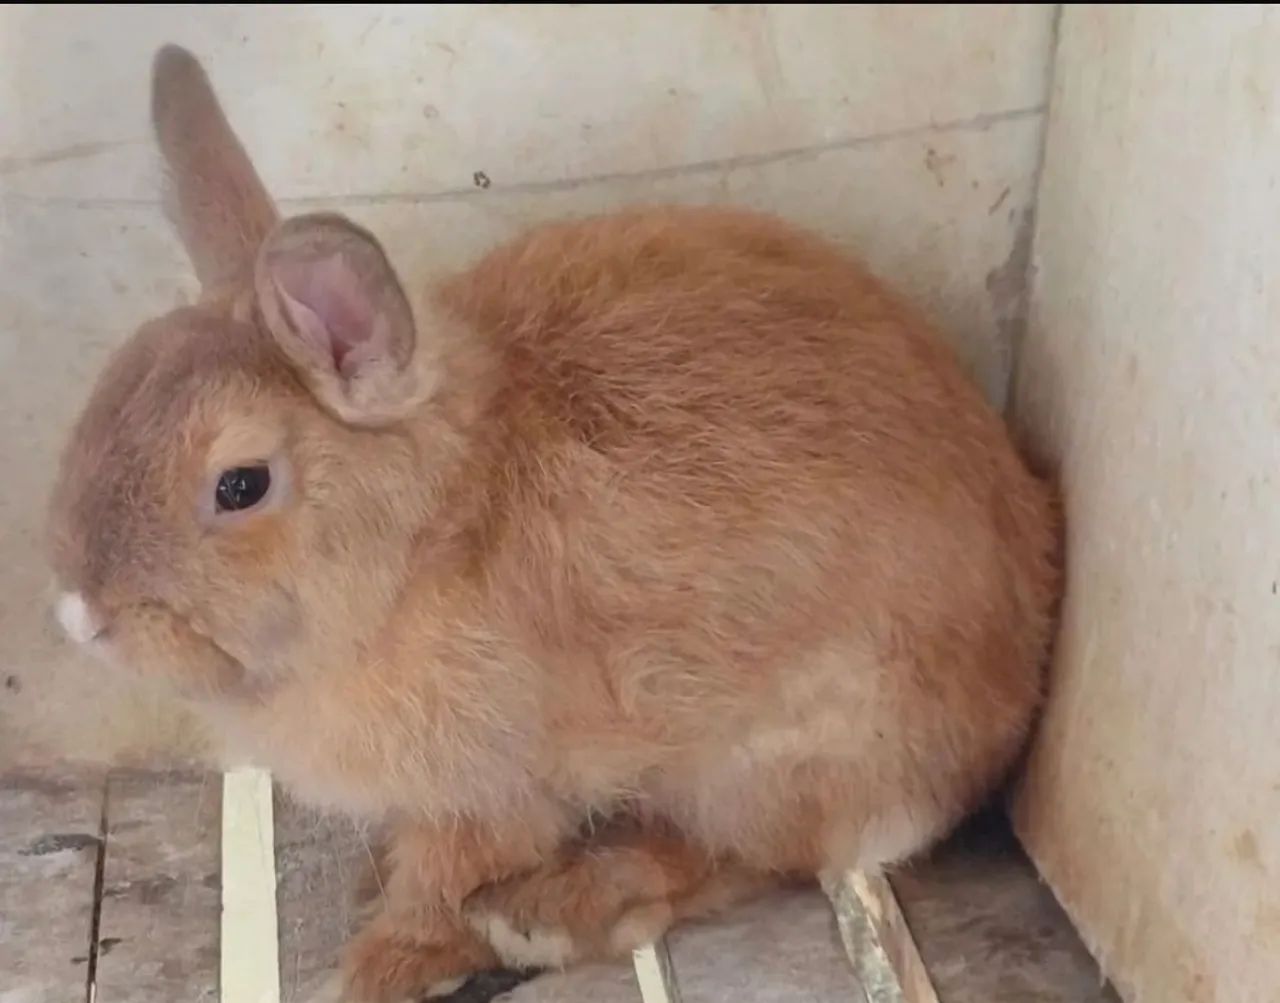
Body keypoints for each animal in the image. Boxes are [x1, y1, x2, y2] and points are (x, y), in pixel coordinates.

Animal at [47, 44, 1061, 1002]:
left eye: (241, 486)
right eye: (107, 393)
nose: (82, 615)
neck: (425, 539)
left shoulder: (488, 790)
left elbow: (445, 881)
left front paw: (384, 964)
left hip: (771, 757)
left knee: (755, 859)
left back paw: (554, 911)